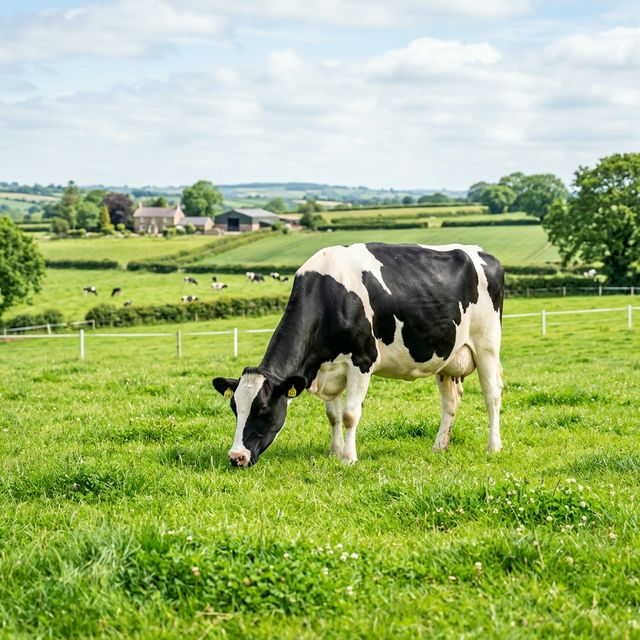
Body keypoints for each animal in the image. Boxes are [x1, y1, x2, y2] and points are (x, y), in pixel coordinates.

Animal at [213, 242, 504, 468]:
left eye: (262, 409)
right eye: (234, 408)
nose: (236, 457)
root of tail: (483, 253)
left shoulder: (362, 360)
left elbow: (350, 414)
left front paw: (349, 458)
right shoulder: (327, 368)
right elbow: (333, 415)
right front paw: (335, 451)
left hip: (487, 344)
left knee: (492, 395)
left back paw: (494, 446)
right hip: (447, 356)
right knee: (450, 402)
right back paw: (440, 445)